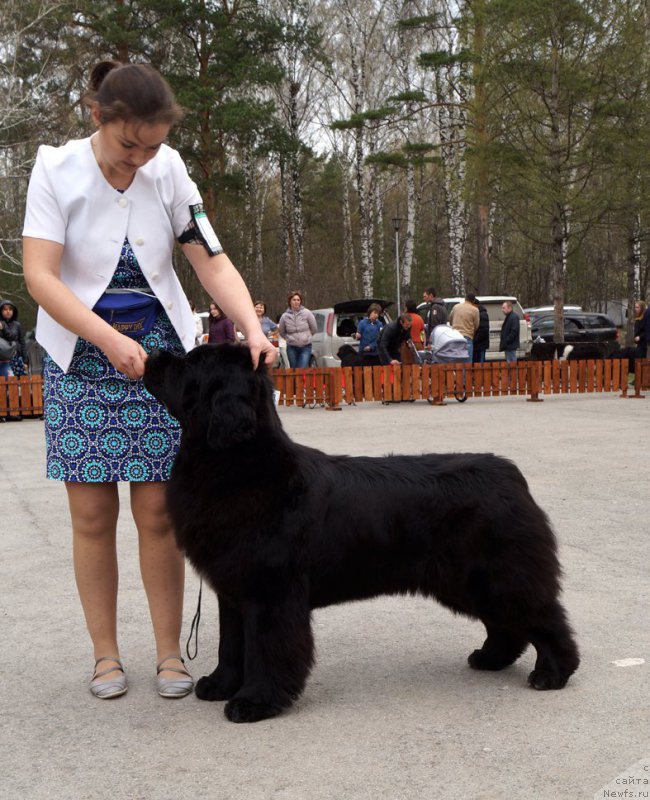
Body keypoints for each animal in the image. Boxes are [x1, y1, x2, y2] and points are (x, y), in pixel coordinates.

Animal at [146, 344, 576, 724]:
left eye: (191, 363)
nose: (152, 356)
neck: (240, 466)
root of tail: (511, 474)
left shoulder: (270, 594)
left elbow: (265, 651)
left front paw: (255, 702)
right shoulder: (233, 591)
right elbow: (231, 644)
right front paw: (220, 685)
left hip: (496, 576)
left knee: (544, 617)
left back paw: (553, 673)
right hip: (466, 582)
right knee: (506, 624)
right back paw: (491, 659)